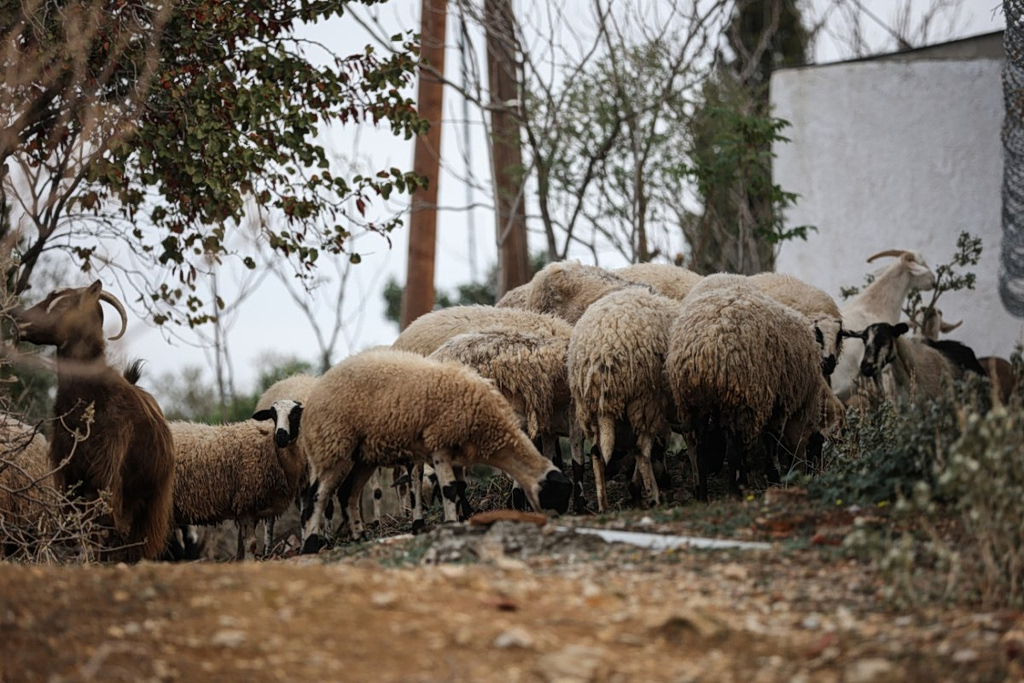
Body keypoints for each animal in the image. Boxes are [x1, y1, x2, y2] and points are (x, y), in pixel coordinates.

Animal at [14, 281, 175, 562]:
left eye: (62, 305)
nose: (20, 321)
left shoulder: (105, 475)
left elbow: (100, 527)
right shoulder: (68, 472)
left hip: (151, 500)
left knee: (136, 541)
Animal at [169, 410, 305, 561]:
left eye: (296, 414)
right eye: (273, 414)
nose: (282, 436)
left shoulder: (246, 507)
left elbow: (241, 543)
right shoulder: (247, 502)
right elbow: (250, 543)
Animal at [297, 348, 572, 553]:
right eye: (556, 494)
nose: (556, 523)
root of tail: (318, 387)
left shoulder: (458, 453)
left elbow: (460, 488)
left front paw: (461, 519)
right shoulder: (439, 442)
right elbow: (449, 490)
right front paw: (450, 523)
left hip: (363, 455)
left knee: (347, 494)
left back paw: (359, 537)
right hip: (333, 444)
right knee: (317, 496)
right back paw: (310, 545)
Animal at [567, 287, 681, 511]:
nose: (667, 481)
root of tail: (601, 350)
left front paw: (634, 489)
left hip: (591, 407)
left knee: (596, 451)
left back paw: (603, 505)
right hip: (645, 399)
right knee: (641, 449)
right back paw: (654, 497)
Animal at [665, 274, 827, 501]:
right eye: (817, 449)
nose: (814, 473)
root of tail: (706, 350)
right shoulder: (779, 403)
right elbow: (771, 443)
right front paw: (774, 478)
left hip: (695, 401)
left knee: (701, 445)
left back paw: (704, 494)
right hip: (740, 398)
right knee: (733, 448)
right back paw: (734, 492)